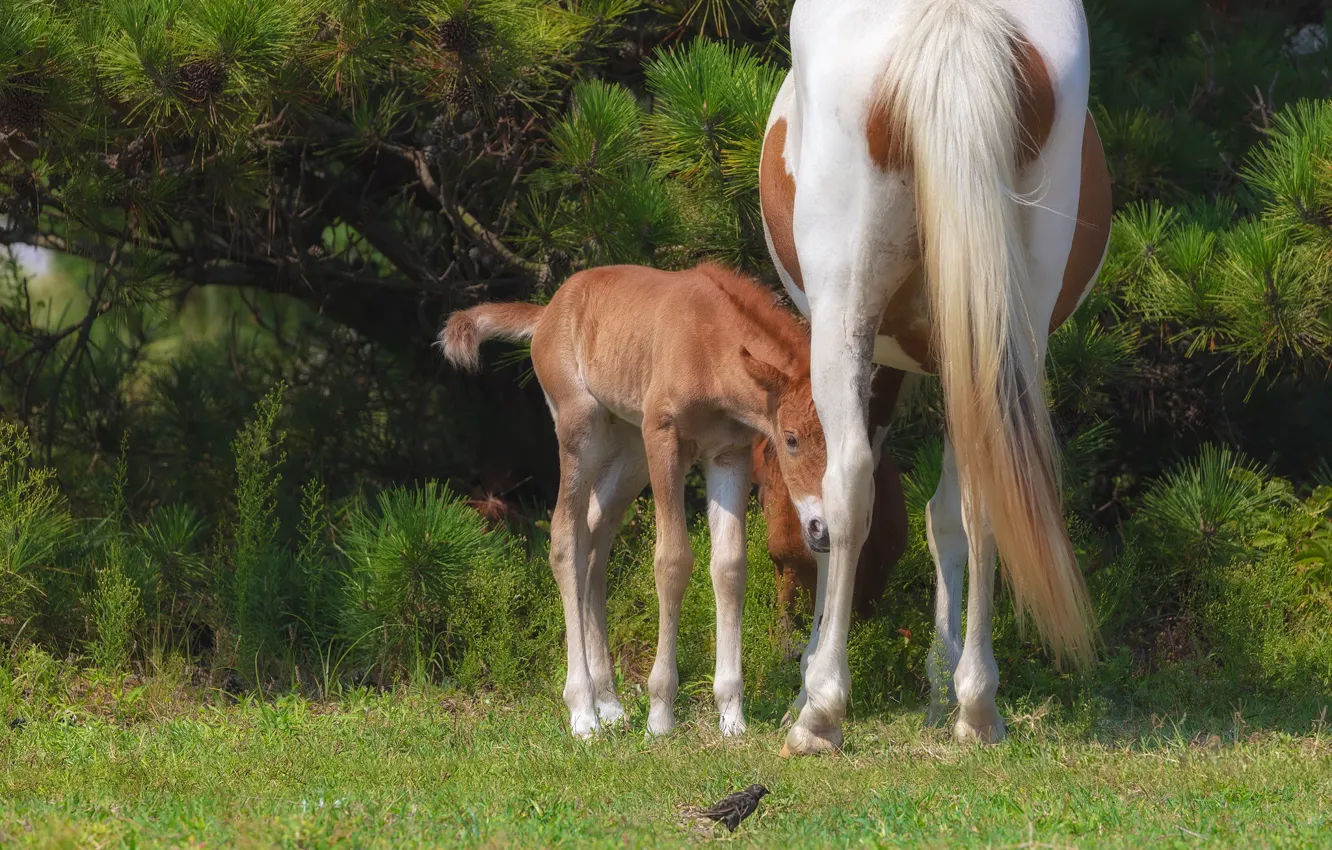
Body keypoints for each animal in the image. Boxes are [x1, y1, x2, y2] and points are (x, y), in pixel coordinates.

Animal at [441, 262, 830, 738]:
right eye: (790, 439)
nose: (822, 530)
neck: (709, 345)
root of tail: (548, 310)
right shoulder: (663, 437)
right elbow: (672, 561)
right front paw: (660, 714)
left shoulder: (729, 454)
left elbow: (730, 566)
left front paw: (731, 715)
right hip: (582, 428)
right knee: (565, 539)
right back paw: (583, 711)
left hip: (628, 448)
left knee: (594, 538)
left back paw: (608, 702)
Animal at [758, 0, 1112, 755]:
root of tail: (956, 21)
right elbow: (948, 515)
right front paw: (943, 681)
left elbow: (833, 504)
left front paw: (810, 679)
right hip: (1006, 333)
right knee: (988, 496)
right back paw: (977, 706)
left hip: (846, 318)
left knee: (849, 485)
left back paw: (820, 714)